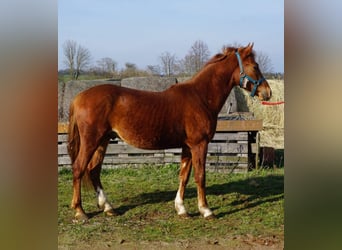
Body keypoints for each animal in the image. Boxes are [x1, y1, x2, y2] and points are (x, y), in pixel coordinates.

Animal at [68, 43, 272, 221]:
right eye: (255, 66)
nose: (267, 92)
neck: (200, 97)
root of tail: (78, 97)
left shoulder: (187, 146)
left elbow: (184, 176)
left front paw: (181, 209)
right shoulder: (199, 144)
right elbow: (200, 176)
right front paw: (206, 210)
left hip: (103, 141)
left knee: (94, 171)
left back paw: (108, 208)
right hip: (91, 141)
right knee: (79, 168)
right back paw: (79, 211)